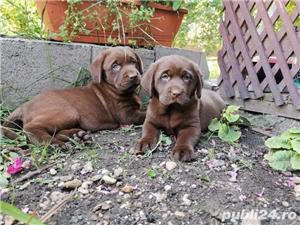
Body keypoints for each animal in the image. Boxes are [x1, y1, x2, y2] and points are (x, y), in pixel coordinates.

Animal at [2, 46, 146, 147]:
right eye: (115, 66)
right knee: (31, 128)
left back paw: (78, 135)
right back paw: (54, 144)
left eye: (133, 62)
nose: (134, 76)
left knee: (55, 131)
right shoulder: (126, 115)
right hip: (67, 112)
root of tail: (24, 105)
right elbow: (144, 114)